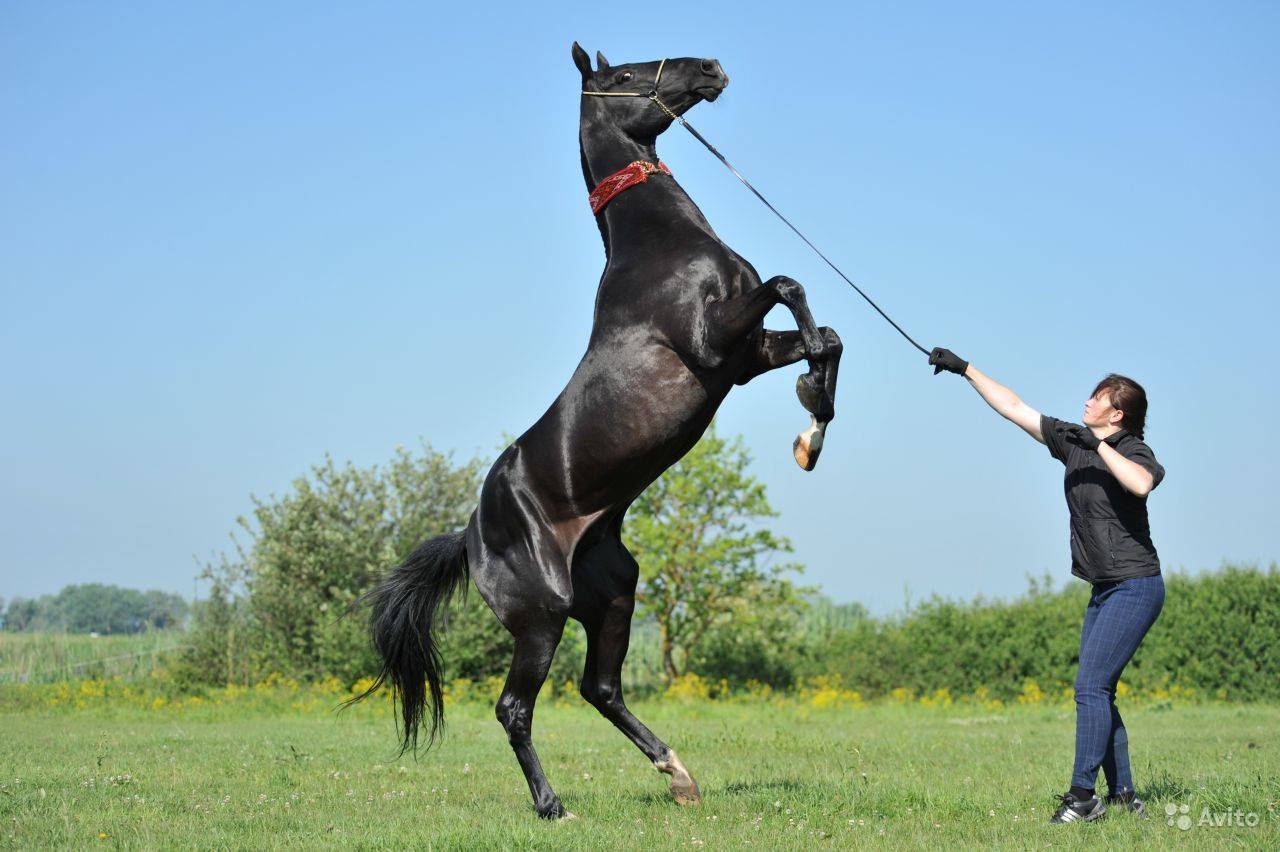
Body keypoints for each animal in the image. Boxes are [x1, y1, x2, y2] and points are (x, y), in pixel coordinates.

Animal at [355, 44, 844, 818]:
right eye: (624, 76)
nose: (710, 67)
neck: (663, 247)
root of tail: (470, 535)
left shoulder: (745, 357)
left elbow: (825, 338)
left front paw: (812, 429)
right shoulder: (713, 346)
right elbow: (791, 285)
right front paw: (811, 426)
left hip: (614, 595)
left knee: (601, 687)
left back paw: (677, 774)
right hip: (541, 615)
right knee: (515, 708)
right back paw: (552, 805)